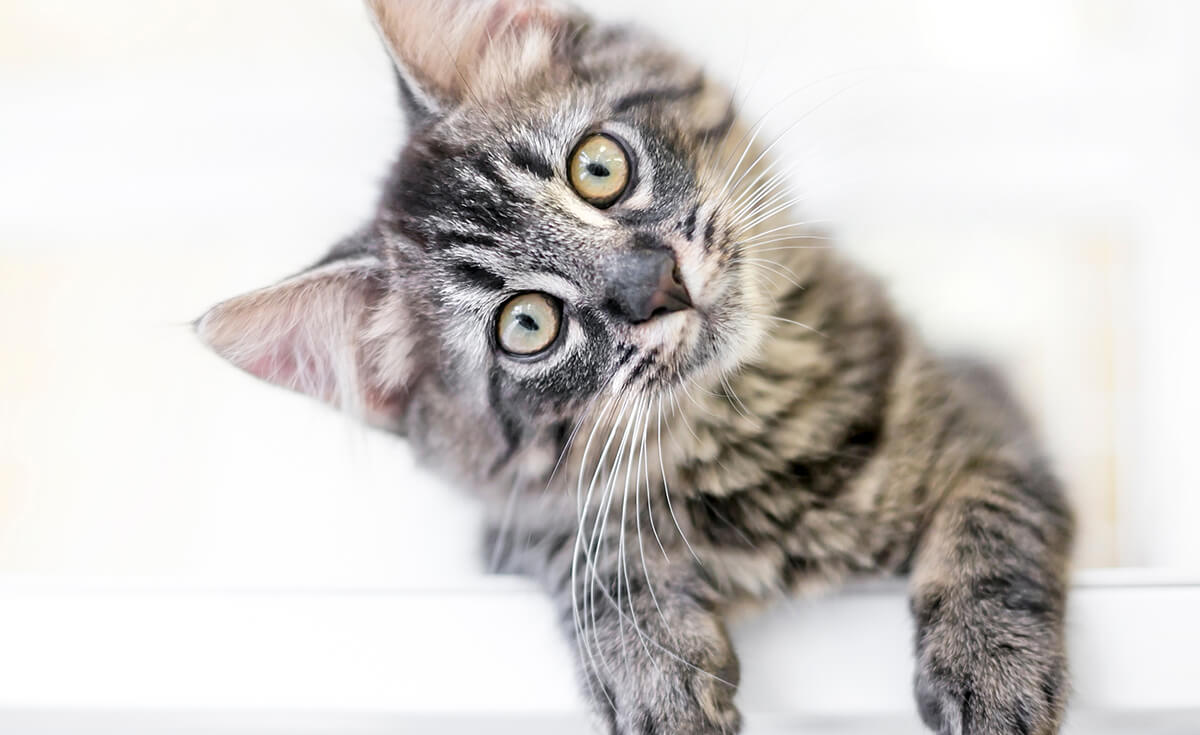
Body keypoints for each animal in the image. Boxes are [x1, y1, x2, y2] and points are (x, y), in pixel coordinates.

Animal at [199, 2, 1080, 730]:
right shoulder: (514, 531)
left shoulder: (990, 426)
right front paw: (653, 664)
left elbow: (989, 527)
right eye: (527, 324)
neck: (746, 429)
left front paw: (991, 669)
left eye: (598, 168)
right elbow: (590, 553)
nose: (656, 285)